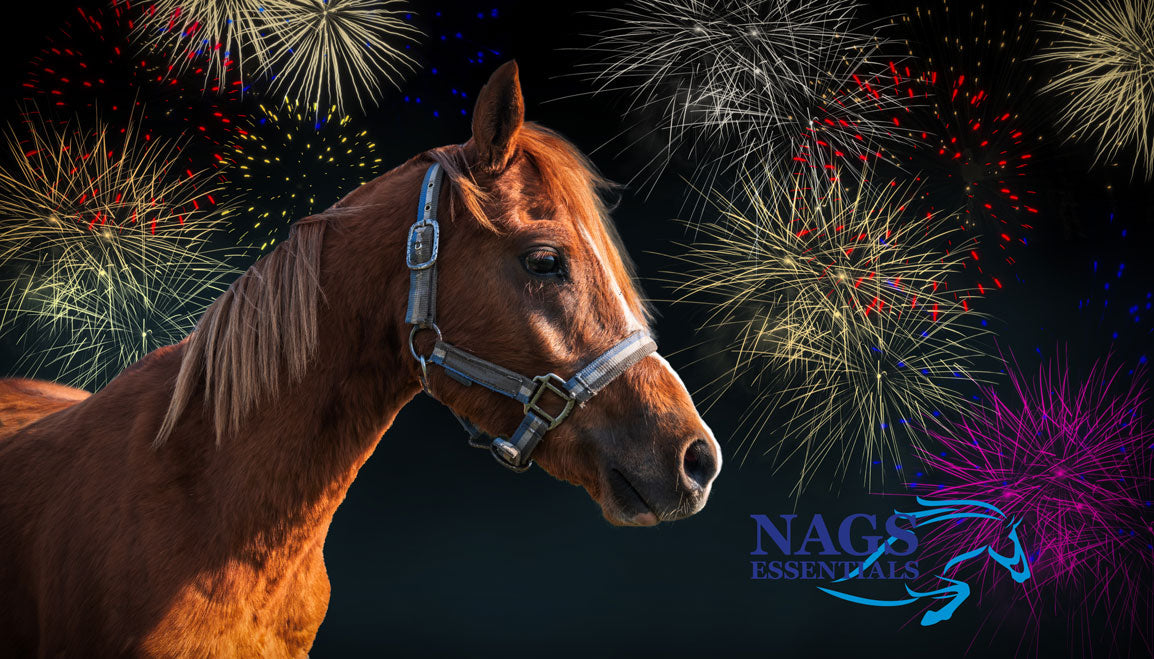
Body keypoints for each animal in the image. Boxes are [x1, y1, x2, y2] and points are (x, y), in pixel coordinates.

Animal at [818, 496, 1031, 626]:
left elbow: (961, 587)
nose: (1026, 575)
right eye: (1012, 539)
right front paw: (935, 615)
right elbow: (961, 588)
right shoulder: (918, 585)